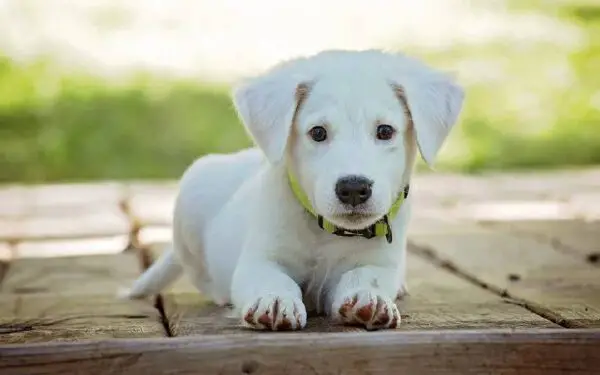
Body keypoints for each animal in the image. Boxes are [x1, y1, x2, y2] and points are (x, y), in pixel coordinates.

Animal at [124, 49, 464, 332]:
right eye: (318, 133)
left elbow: (367, 276)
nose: (354, 188)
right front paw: (275, 301)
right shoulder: (259, 259)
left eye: (385, 131)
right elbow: (272, 278)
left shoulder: (379, 261)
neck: (325, 232)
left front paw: (369, 298)